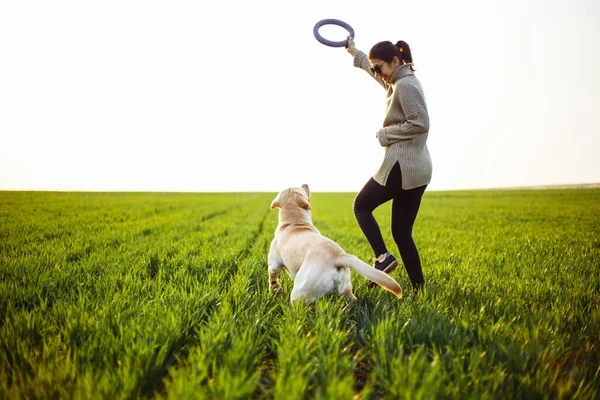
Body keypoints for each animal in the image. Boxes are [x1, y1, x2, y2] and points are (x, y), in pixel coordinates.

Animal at [268, 184, 404, 304]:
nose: (305, 184)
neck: (294, 222)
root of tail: (338, 256)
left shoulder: (274, 263)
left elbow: (272, 276)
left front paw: (275, 291)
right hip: (345, 287)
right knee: (353, 300)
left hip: (300, 292)